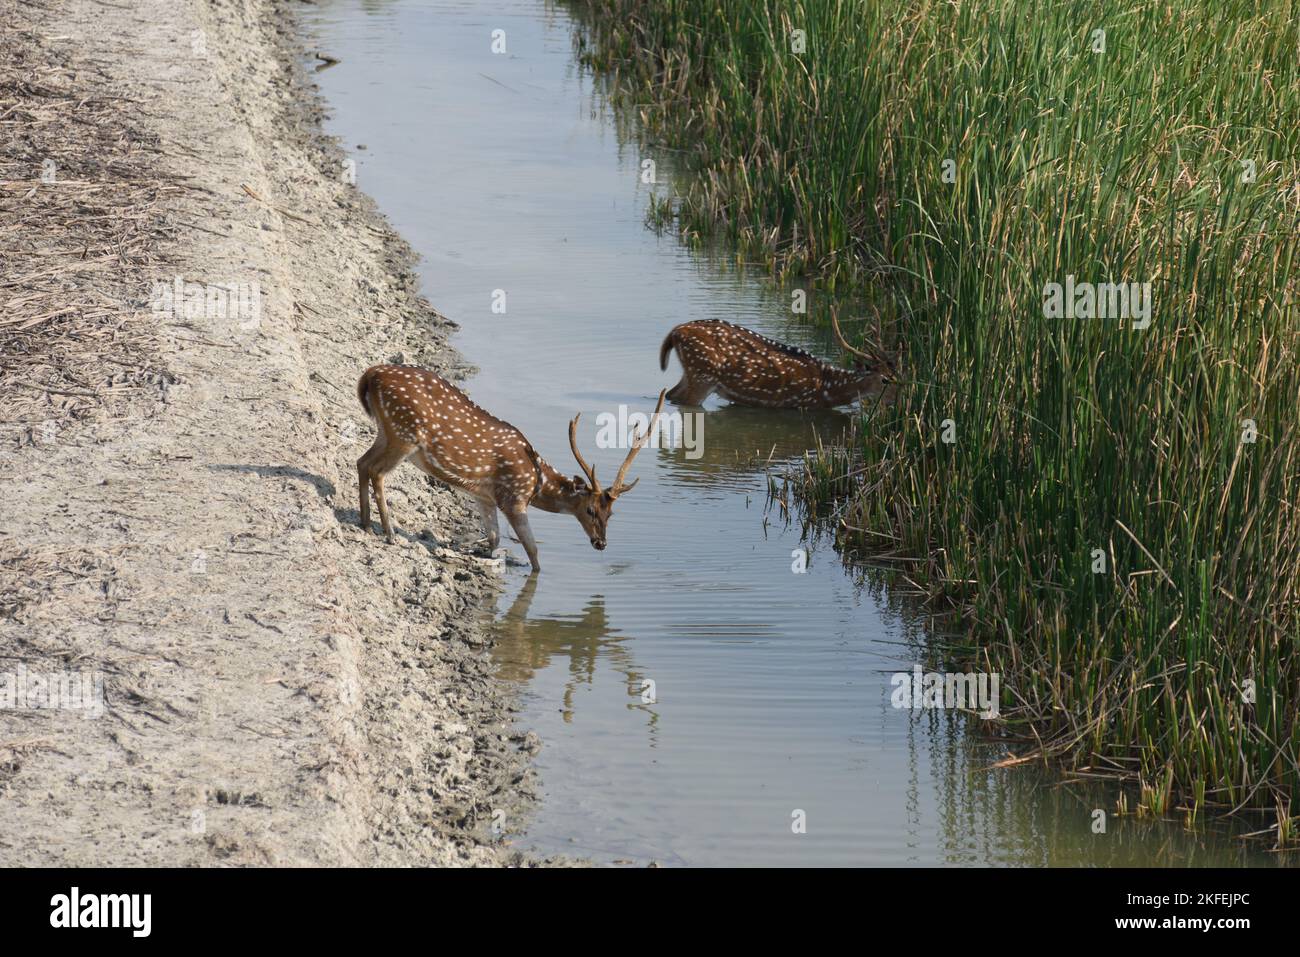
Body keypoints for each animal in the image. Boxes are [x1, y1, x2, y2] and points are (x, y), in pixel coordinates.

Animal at [356, 366, 665, 572]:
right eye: (590, 510)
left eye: (611, 513)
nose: (601, 543)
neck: (536, 482)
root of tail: (369, 375)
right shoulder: (513, 498)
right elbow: (533, 550)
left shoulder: (484, 496)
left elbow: (494, 539)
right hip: (403, 433)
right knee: (377, 471)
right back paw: (389, 533)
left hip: (387, 431)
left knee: (362, 462)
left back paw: (366, 523)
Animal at [660, 312, 894, 405]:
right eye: (885, 380)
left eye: (899, 374)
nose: (896, 402)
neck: (827, 389)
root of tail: (675, 332)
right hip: (703, 375)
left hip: (691, 373)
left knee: (670, 394)